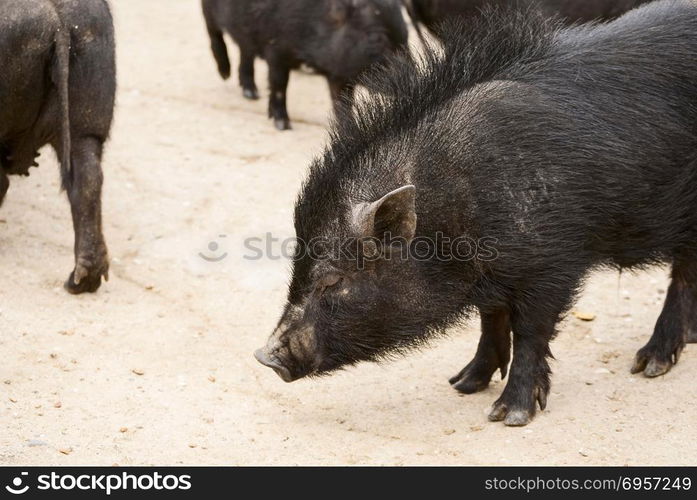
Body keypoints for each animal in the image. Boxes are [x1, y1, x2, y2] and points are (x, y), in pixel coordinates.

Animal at [201, 0, 408, 131]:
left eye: (406, 35)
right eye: (376, 38)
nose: (410, 77)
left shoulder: (339, 73)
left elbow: (343, 103)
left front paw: (349, 133)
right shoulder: (276, 51)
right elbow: (279, 85)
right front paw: (283, 126)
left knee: (245, 50)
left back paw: (251, 94)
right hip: (208, 10)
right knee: (214, 33)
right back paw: (225, 73)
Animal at [256, 0, 696, 428]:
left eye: (333, 279)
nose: (265, 356)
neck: (458, 203)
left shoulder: (554, 264)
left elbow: (530, 331)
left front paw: (508, 416)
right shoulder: (492, 275)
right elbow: (490, 318)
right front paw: (463, 385)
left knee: (682, 276)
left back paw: (649, 365)